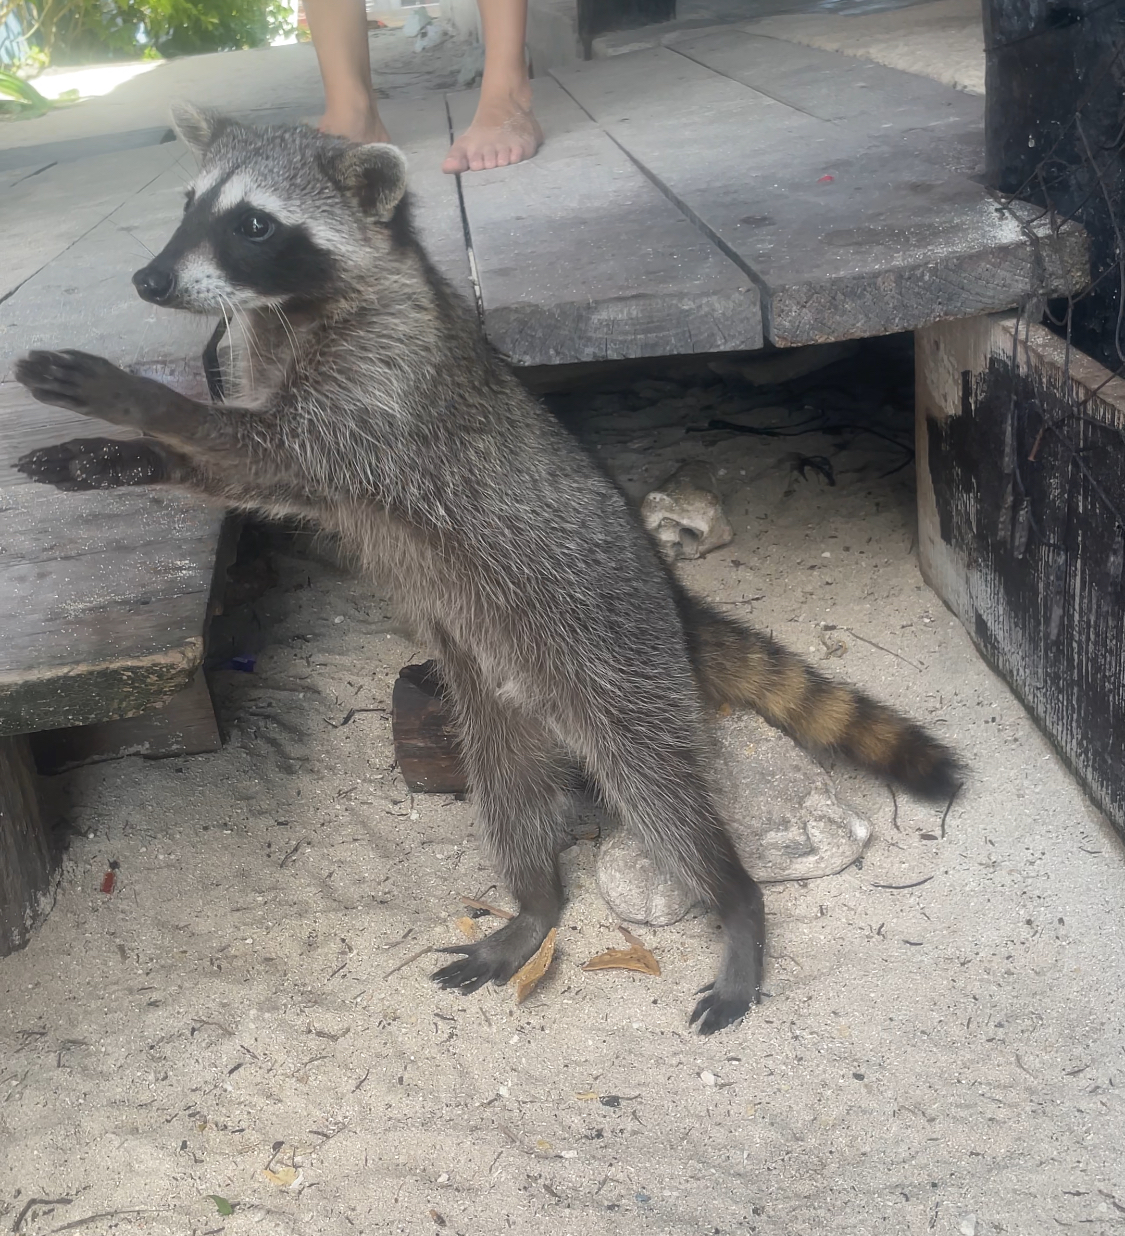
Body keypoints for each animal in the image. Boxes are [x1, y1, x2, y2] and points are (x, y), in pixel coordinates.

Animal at [14, 105, 961, 1033]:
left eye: (252, 224)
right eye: (188, 203)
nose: (149, 281)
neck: (293, 309)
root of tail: (670, 595)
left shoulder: (382, 385)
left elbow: (269, 452)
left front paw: (135, 399)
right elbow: (243, 474)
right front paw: (120, 456)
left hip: (614, 650)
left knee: (657, 788)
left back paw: (736, 903)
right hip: (492, 698)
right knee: (512, 801)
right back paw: (536, 905)